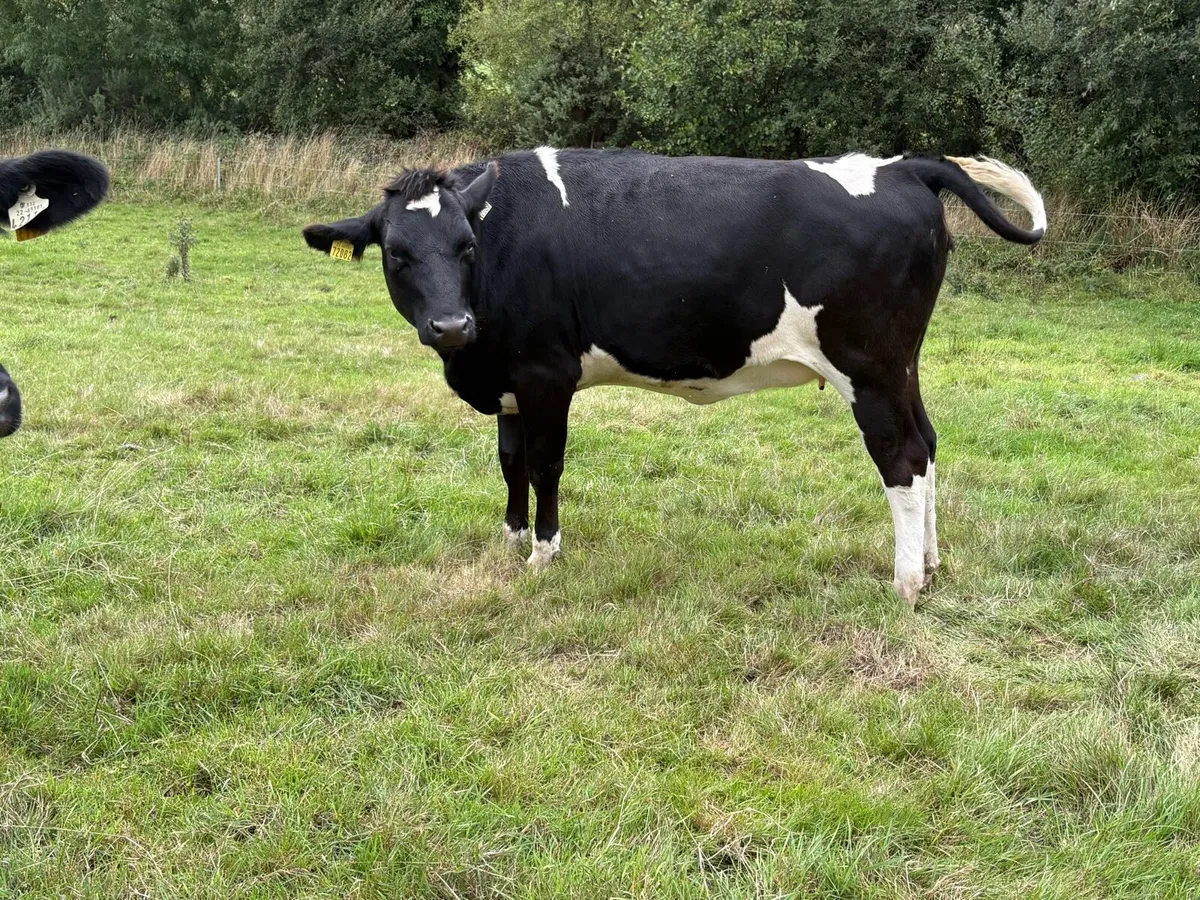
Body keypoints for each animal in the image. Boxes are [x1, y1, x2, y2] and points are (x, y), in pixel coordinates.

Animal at [303, 148, 1046, 607]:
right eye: (396, 255)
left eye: (464, 246)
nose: (451, 326)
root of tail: (899, 166)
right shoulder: (509, 379)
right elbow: (509, 464)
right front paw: (511, 540)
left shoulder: (545, 374)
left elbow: (544, 466)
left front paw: (543, 554)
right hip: (902, 365)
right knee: (929, 444)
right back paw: (931, 564)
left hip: (870, 365)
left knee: (903, 456)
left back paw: (905, 583)